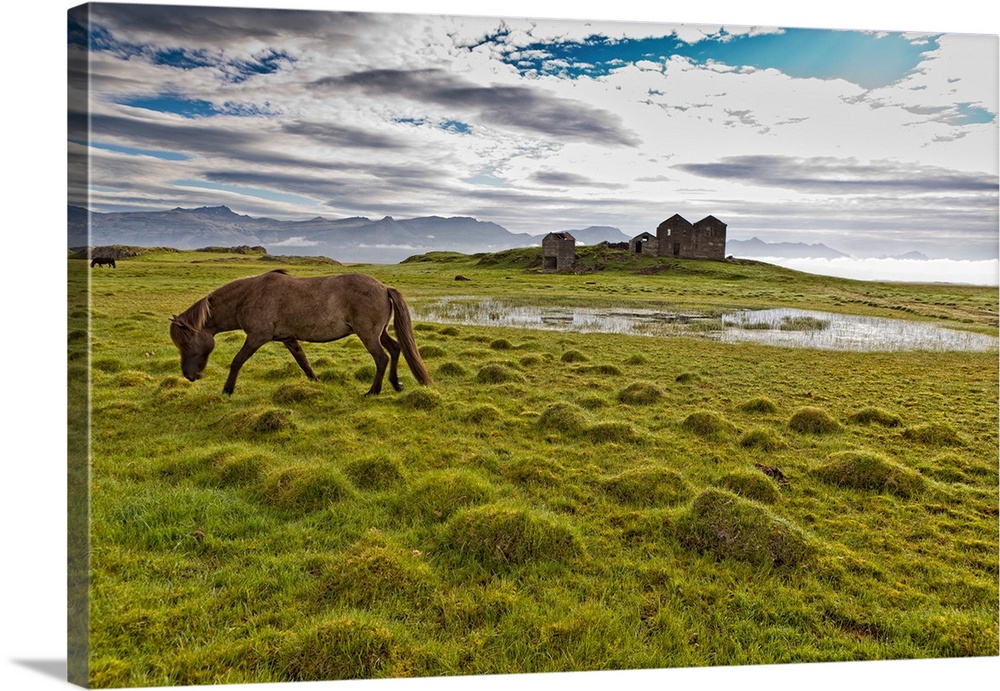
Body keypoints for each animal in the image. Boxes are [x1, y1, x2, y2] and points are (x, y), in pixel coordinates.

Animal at [169, 274, 434, 398]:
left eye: (187, 343)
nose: (189, 376)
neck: (248, 296)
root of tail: (383, 287)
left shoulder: (256, 337)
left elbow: (237, 362)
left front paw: (227, 389)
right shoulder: (288, 338)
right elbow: (303, 362)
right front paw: (315, 382)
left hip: (368, 335)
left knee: (382, 358)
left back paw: (373, 391)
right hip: (380, 333)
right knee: (395, 349)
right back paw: (396, 384)